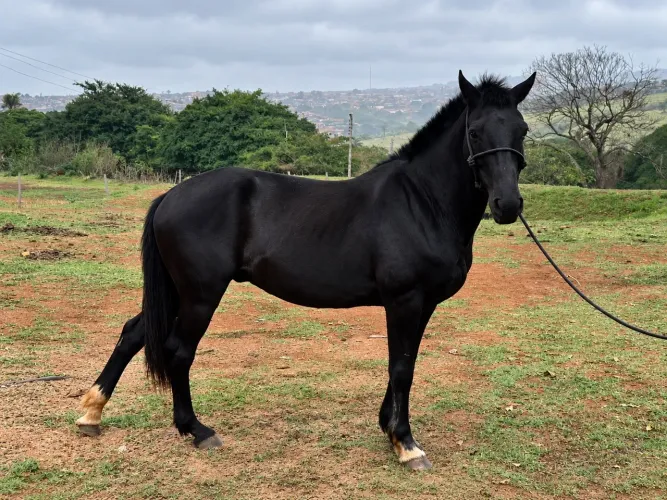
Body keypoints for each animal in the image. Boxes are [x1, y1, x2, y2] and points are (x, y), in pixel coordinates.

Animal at [76, 70, 536, 470]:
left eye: (522, 130)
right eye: (475, 132)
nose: (507, 205)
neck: (422, 202)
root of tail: (170, 196)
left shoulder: (422, 305)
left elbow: (403, 364)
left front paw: (388, 428)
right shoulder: (405, 301)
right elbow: (402, 367)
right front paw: (406, 444)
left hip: (176, 291)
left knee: (133, 333)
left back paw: (91, 414)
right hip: (199, 294)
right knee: (178, 350)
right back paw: (197, 430)